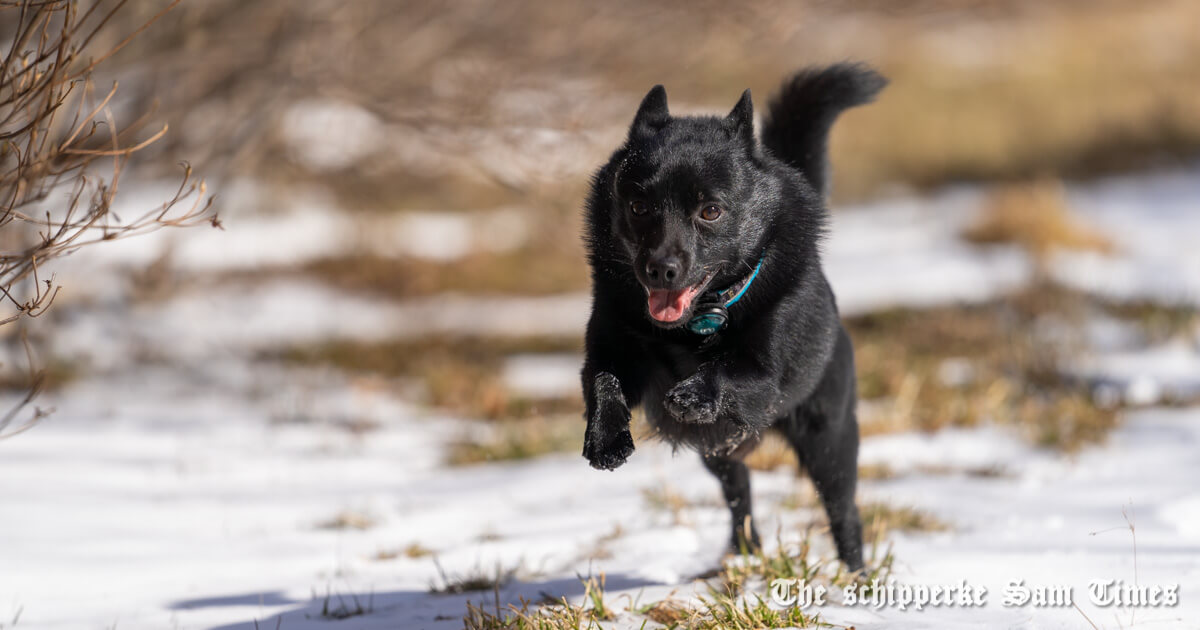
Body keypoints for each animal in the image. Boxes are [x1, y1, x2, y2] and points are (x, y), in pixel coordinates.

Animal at [576, 63, 888, 568]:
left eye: (710, 211)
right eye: (639, 206)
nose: (660, 269)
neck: (693, 327)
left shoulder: (766, 375)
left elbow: (730, 372)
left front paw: (691, 393)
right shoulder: (609, 345)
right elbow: (605, 380)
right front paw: (606, 440)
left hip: (829, 441)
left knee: (845, 511)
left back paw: (854, 574)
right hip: (719, 452)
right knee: (739, 493)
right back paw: (745, 553)